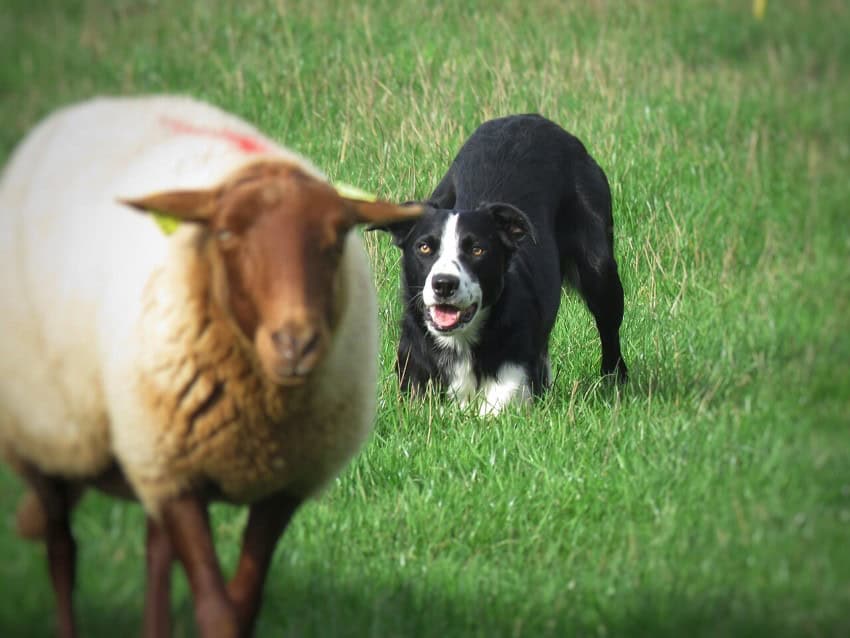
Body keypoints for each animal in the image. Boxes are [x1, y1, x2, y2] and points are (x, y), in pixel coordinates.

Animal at [0, 95, 422, 638]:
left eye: (336, 241)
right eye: (224, 234)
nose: (295, 343)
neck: (260, 415)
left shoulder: (275, 485)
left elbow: (241, 604)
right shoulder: (178, 478)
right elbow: (216, 610)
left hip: (147, 442)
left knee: (154, 552)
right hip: (53, 436)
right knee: (61, 553)